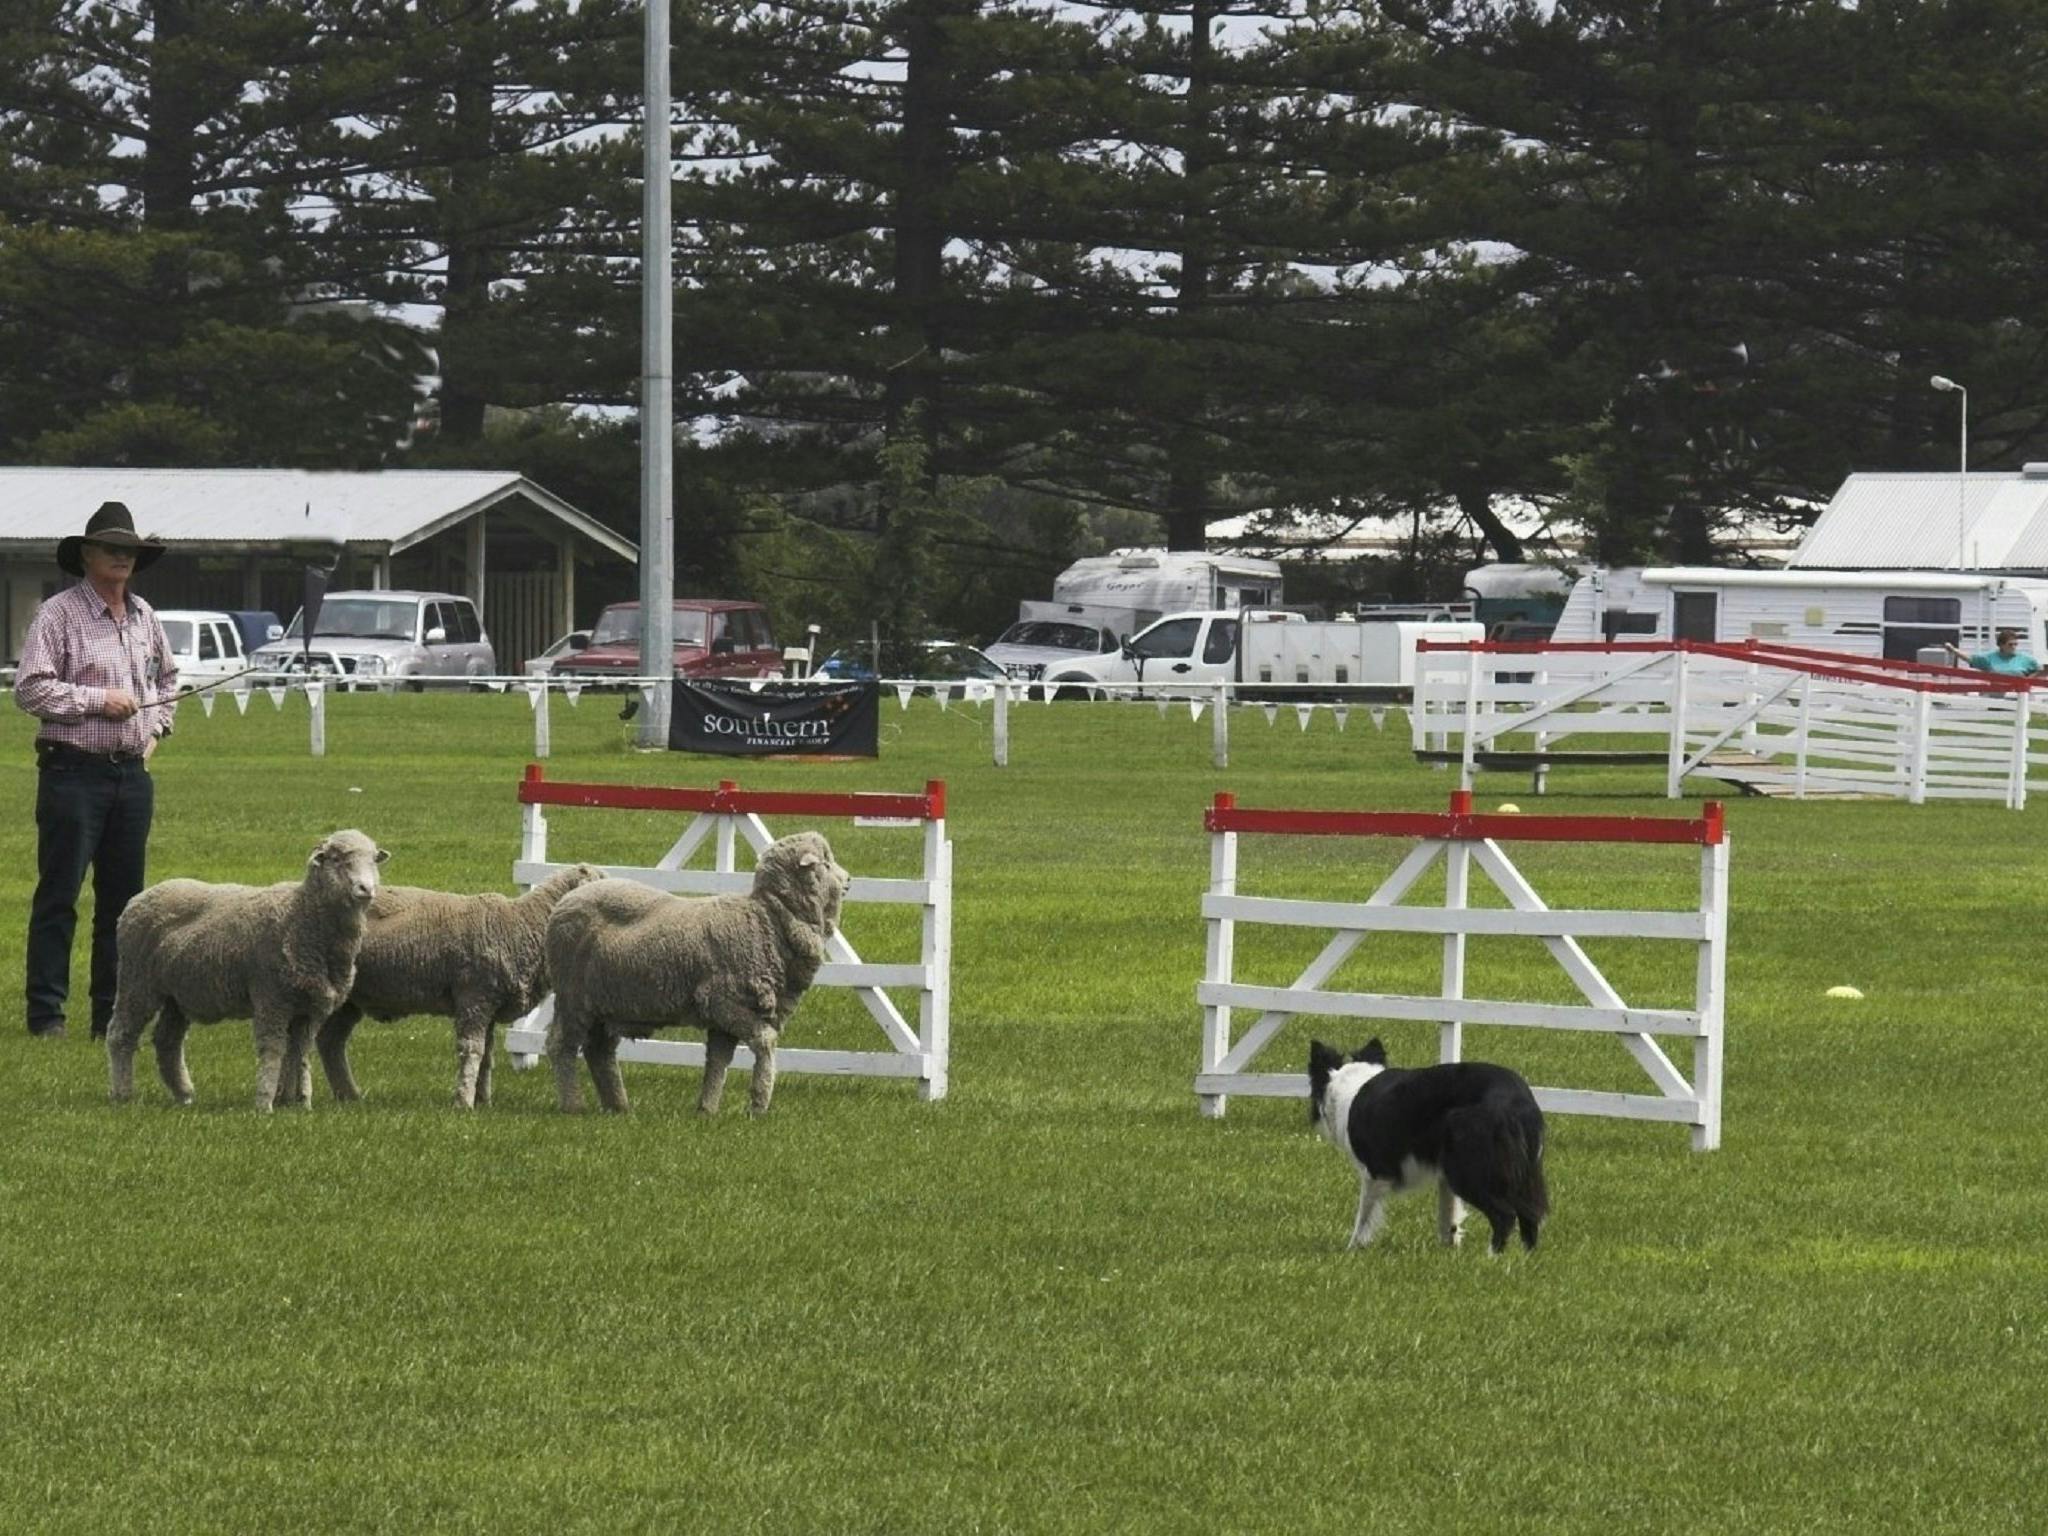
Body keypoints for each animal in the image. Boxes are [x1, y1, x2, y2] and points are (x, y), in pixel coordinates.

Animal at [104, 835, 387, 1114]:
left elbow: (300, 1052)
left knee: (167, 1041)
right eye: (337, 859)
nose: (366, 889)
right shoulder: (271, 998)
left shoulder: (311, 1007)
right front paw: (265, 1103)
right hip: (137, 980)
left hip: (178, 995)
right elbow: (274, 1049)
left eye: (374, 860)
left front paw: (299, 1102)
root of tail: (140, 897)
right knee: (121, 1034)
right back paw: (123, 1093)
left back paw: (183, 1095)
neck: (301, 915)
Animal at [307, 868, 602, 1105]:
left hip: (350, 1000)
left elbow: (487, 1055)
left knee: (331, 1042)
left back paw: (349, 1095)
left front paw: (483, 1100)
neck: (521, 925)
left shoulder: (488, 1006)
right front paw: (464, 1101)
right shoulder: (474, 998)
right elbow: (472, 1050)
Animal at [544, 831, 847, 1122]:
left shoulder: (724, 1019)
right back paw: (573, 1104)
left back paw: (618, 1106)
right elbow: (765, 1041)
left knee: (599, 1051)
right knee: (561, 1046)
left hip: (604, 1003)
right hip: (573, 997)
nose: (848, 881)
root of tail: (569, 898)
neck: (767, 919)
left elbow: (717, 1062)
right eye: (825, 863)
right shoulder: (724, 1002)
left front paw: (707, 1110)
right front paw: (759, 1104)